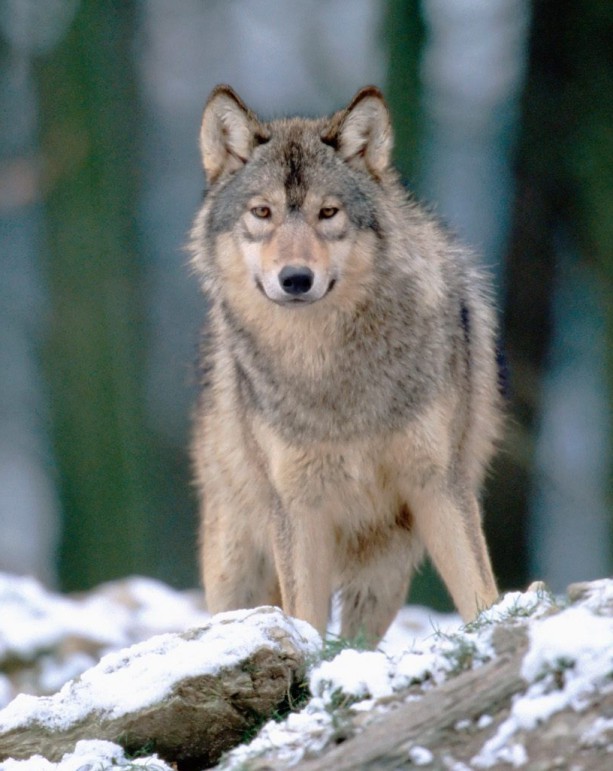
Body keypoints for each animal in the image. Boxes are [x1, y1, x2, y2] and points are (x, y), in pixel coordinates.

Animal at [189, 84, 503, 643]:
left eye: (328, 212)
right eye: (263, 212)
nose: (296, 278)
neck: (328, 369)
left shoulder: (438, 484)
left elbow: (479, 592)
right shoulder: (298, 507)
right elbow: (306, 619)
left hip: (383, 571)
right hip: (237, 566)